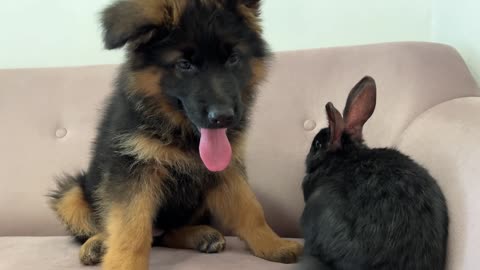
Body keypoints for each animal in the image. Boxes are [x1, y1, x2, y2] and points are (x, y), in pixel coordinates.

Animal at [49, 0, 304, 270]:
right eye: (184, 65)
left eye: (233, 59)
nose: (223, 117)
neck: (181, 131)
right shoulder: (133, 168)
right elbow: (131, 227)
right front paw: (124, 264)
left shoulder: (226, 169)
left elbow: (250, 208)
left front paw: (273, 244)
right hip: (71, 193)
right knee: (109, 228)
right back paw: (97, 244)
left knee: (168, 234)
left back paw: (201, 235)